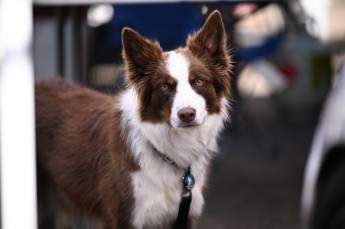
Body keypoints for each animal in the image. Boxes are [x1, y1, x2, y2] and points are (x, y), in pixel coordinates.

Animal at [35, 10, 231, 229]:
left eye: (199, 81)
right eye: (164, 86)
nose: (187, 115)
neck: (168, 150)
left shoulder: (183, 217)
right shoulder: (122, 218)